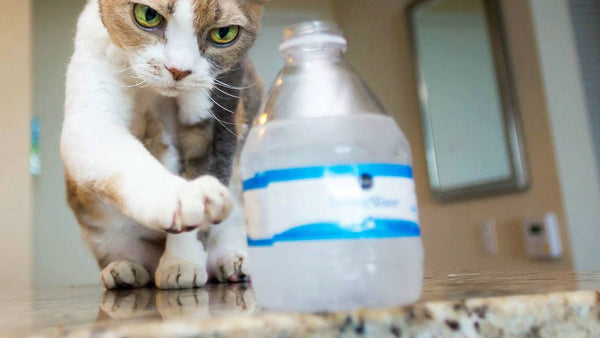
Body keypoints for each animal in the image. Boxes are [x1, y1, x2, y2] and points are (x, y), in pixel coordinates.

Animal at [62, 0, 266, 290]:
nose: (179, 70)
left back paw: (232, 264)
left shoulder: (219, 117)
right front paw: (181, 197)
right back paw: (124, 270)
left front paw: (181, 262)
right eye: (148, 15)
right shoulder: (91, 110)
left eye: (224, 33)